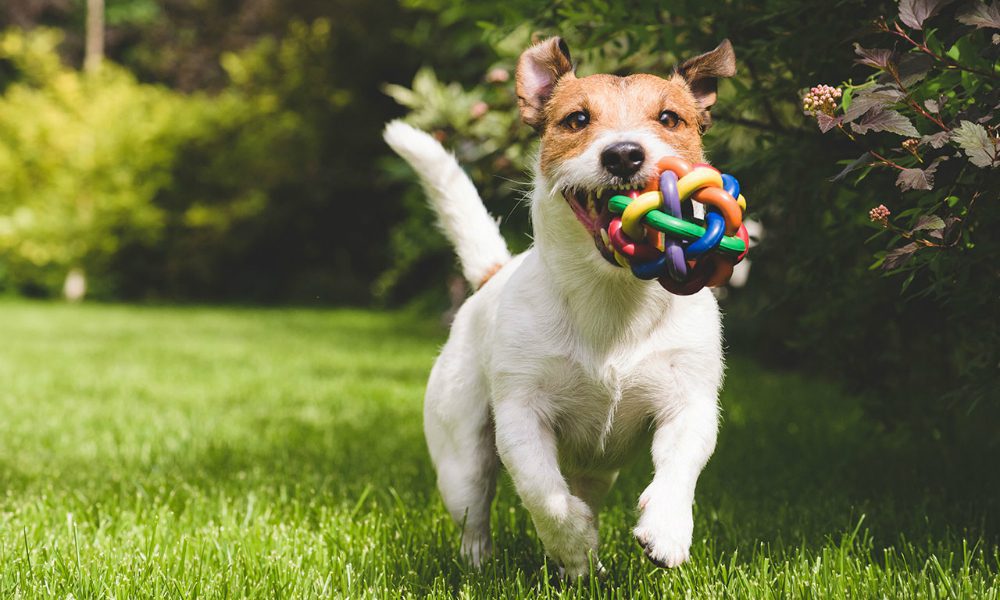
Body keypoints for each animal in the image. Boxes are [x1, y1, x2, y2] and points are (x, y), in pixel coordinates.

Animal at [386, 38, 740, 576]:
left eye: (669, 118)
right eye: (576, 119)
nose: (624, 154)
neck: (612, 295)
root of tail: (493, 274)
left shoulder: (689, 401)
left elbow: (680, 465)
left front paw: (667, 529)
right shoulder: (521, 414)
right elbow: (543, 494)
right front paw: (573, 542)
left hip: (598, 470)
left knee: (586, 490)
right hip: (460, 456)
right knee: (475, 511)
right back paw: (491, 562)